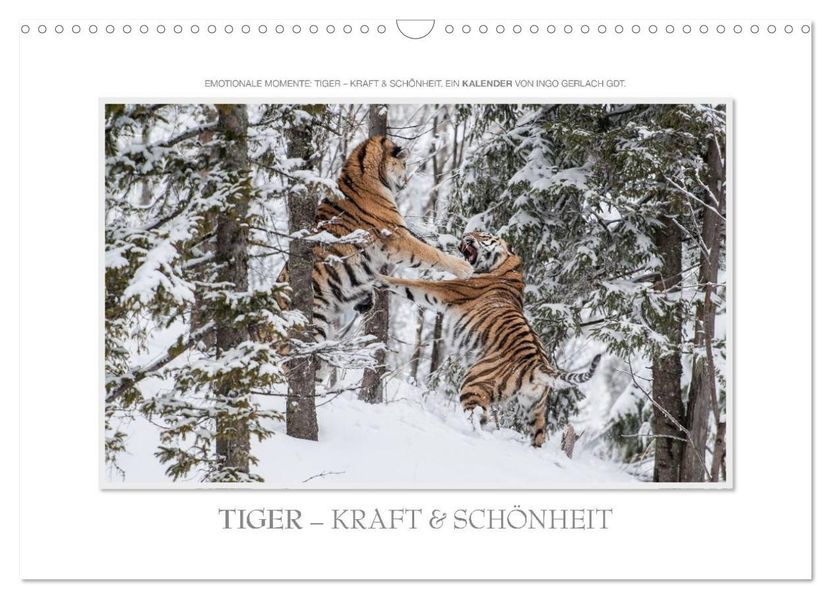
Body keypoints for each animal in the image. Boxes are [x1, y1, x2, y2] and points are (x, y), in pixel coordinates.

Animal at [377, 231, 600, 448]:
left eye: (482, 235)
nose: (464, 237)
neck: (507, 266)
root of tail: (538, 364)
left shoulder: (447, 289)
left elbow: (410, 284)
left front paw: (378, 277)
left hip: (473, 383)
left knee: (479, 418)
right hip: (534, 408)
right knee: (536, 435)